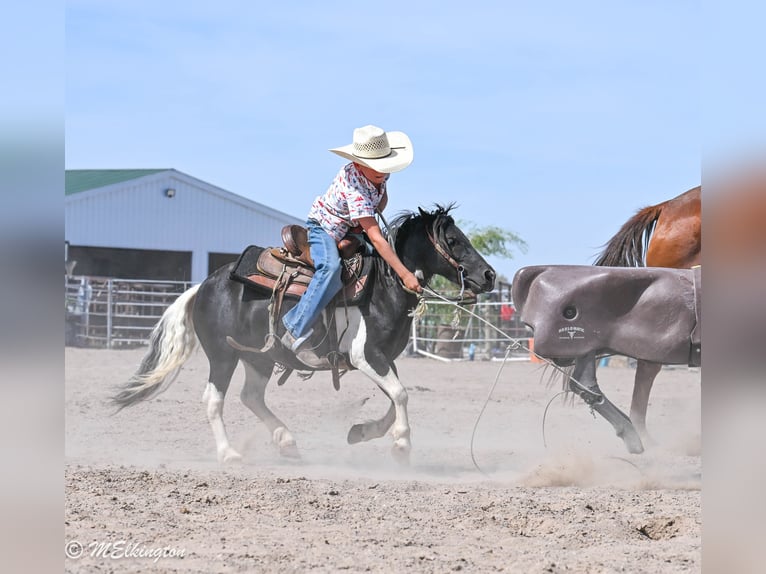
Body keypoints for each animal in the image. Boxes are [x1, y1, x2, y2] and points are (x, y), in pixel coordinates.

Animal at [112, 205, 496, 464]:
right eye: (453, 240)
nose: (490, 275)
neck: (384, 285)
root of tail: (204, 286)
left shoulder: (383, 358)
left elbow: (394, 398)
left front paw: (361, 432)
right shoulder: (366, 355)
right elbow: (400, 395)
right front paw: (401, 445)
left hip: (259, 358)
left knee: (251, 397)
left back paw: (286, 442)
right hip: (223, 356)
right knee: (214, 400)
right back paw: (230, 454)